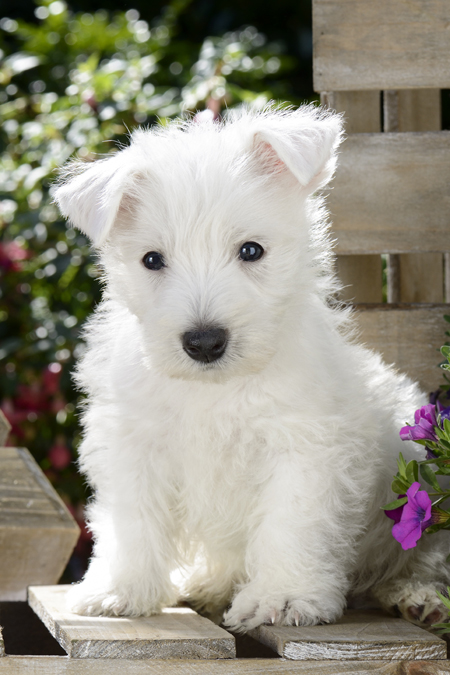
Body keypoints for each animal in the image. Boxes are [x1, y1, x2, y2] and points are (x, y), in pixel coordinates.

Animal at [54, 104, 448, 628]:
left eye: (251, 250)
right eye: (152, 259)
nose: (204, 342)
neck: (216, 389)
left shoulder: (303, 445)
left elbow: (289, 522)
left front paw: (281, 598)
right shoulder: (136, 444)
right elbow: (133, 521)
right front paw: (121, 590)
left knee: (427, 553)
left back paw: (418, 595)